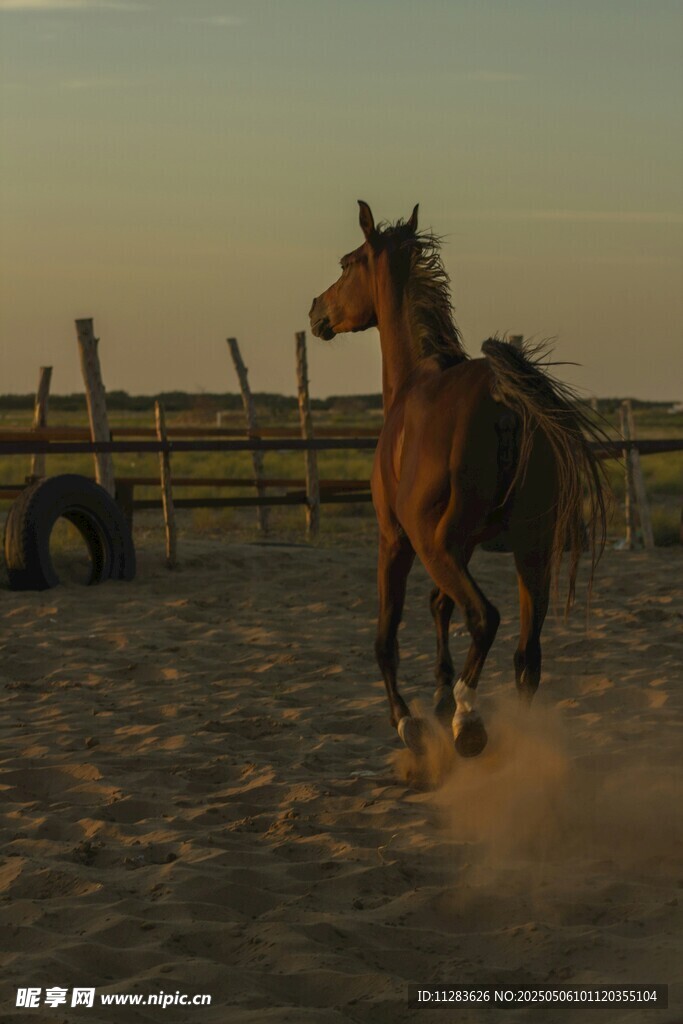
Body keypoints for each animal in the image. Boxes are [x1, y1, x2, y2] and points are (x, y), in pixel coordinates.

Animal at [309, 202, 607, 758]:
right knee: (526, 654)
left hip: (439, 545)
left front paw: (410, 720)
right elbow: (439, 606)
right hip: (530, 549)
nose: (316, 309)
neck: (414, 383)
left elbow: (387, 635)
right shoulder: (461, 545)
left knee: (485, 618)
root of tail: (507, 403)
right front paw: (440, 694)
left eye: (346, 263)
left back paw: (468, 721)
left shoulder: (397, 539)